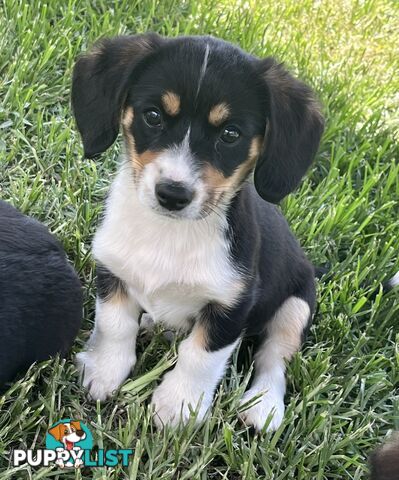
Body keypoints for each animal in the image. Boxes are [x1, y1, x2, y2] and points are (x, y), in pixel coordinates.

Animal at [72, 33, 324, 432]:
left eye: (231, 134)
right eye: (153, 116)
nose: (173, 194)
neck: (169, 232)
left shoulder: (232, 304)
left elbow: (199, 356)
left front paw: (178, 406)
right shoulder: (112, 269)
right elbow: (114, 325)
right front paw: (103, 371)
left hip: (296, 306)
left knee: (274, 358)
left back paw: (263, 405)